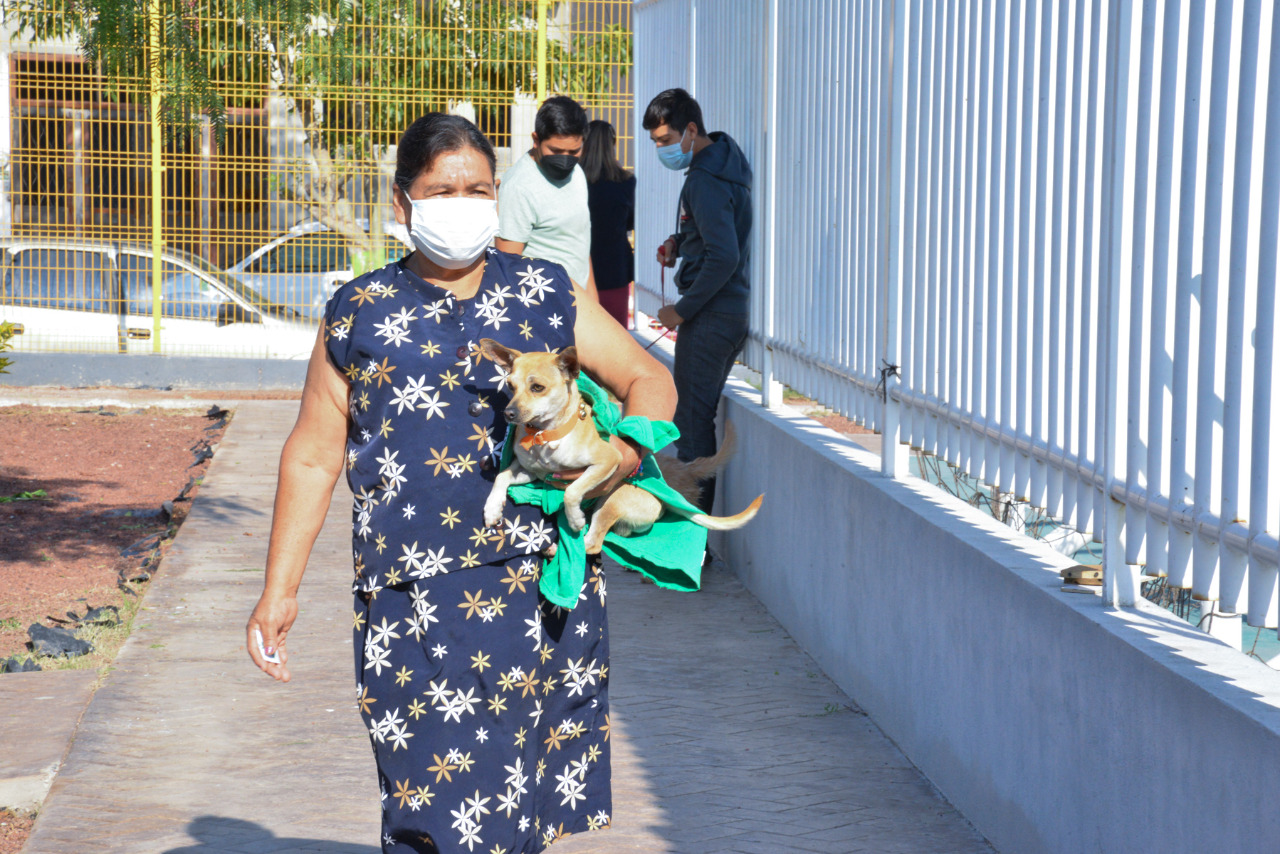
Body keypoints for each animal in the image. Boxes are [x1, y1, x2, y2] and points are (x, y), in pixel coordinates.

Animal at [478, 338, 757, 555]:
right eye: (510, 386)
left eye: (538, 388)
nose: (508, 413)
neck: (546, 437)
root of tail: (666, 499)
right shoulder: (533, 473)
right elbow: (502, 476)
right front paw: (492, 509)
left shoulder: (607, 462)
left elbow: (572, 492)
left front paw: (574, 517)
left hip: (611, 500)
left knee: (593, 543)